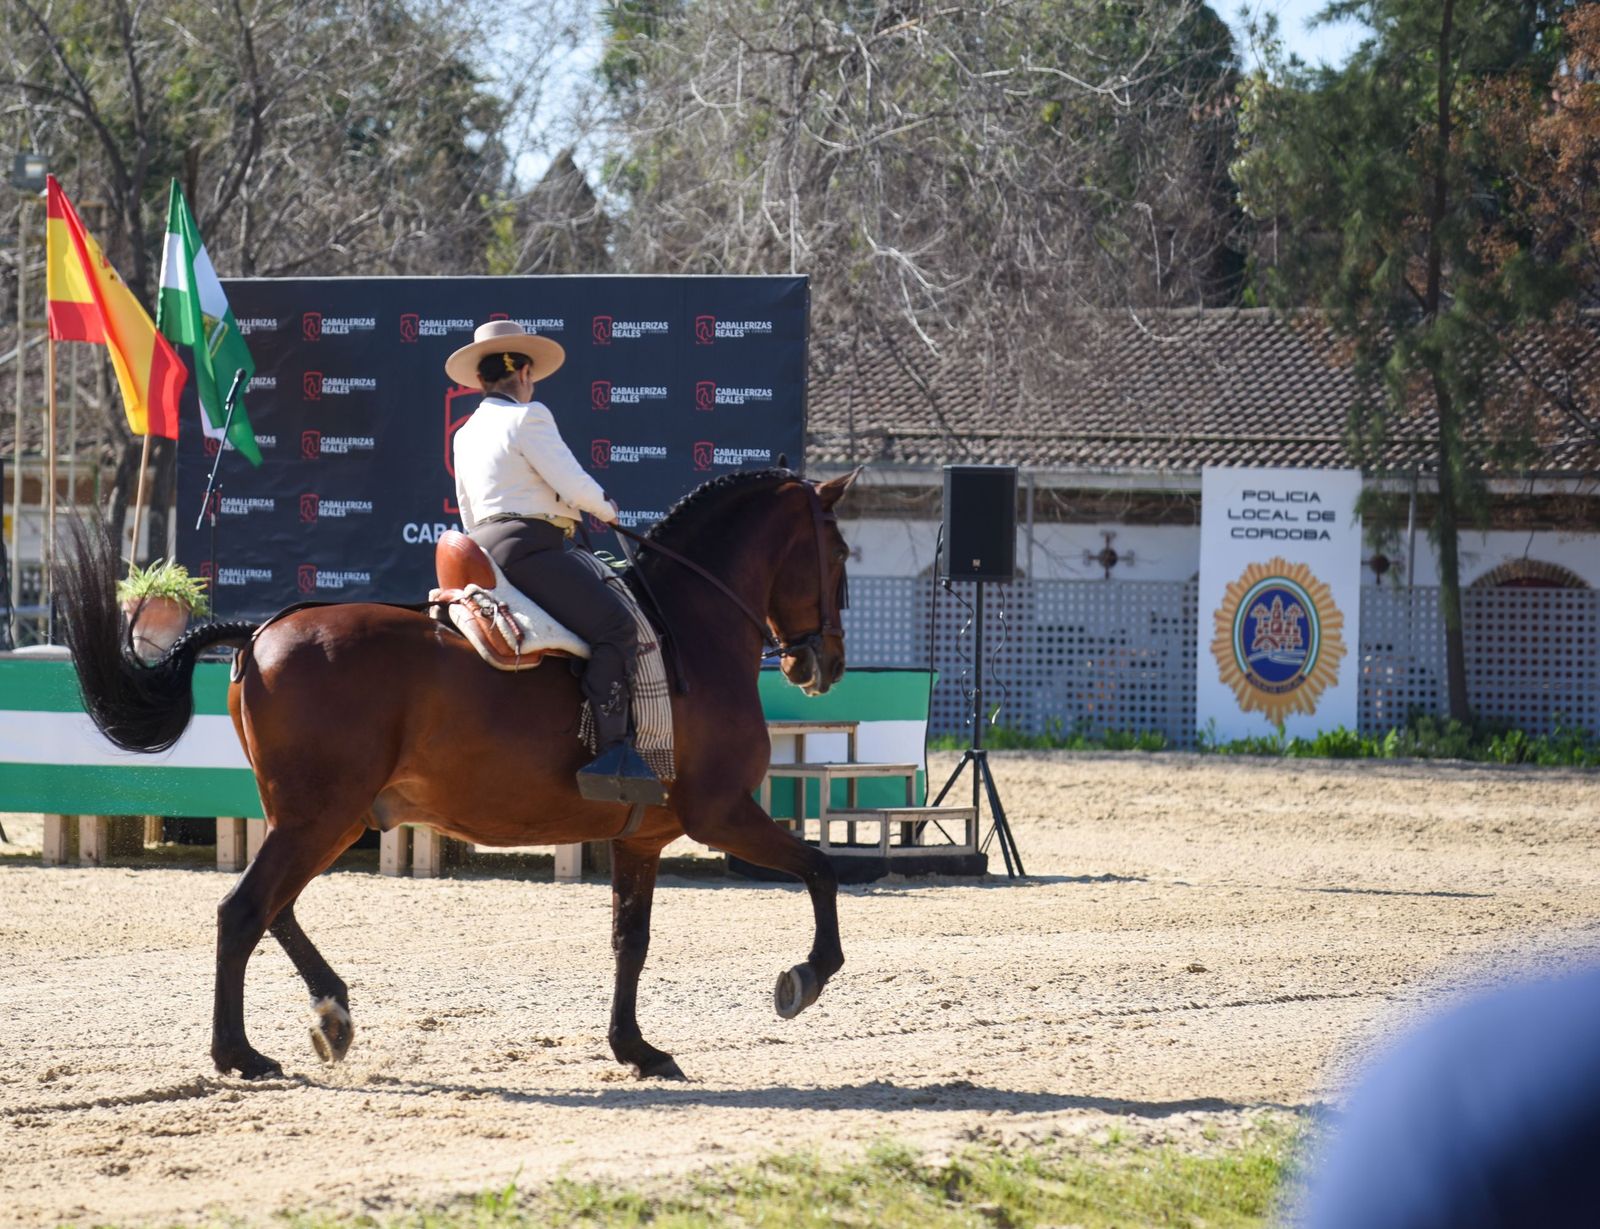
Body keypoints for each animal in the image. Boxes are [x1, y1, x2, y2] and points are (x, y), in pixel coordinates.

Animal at [59, 467, 859, 1081]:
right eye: (841, 551)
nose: (823, 663)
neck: (688, 626)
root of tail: (260, 631)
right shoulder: (721, 812)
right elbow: (821, 867)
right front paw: (806, 975)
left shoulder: (643, 836)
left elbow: (630, 942)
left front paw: (636, 1049)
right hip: (317, 817)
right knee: (244, 911)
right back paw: (240, 1053)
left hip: (322, 819)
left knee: (275, 909)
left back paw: (329, 1012)